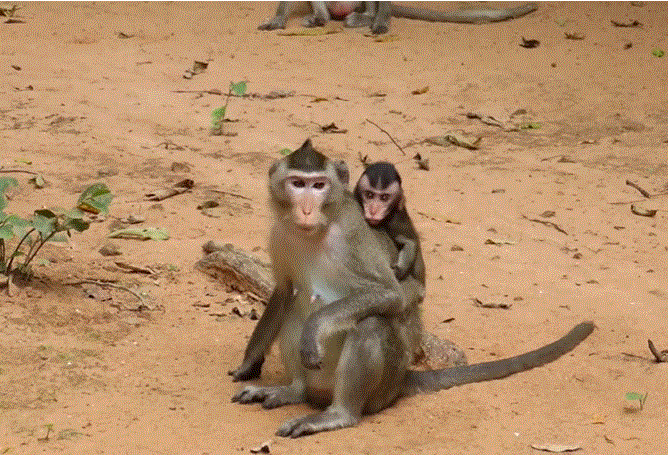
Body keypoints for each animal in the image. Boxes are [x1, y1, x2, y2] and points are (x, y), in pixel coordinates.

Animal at [230, 138, 594, 437]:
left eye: (318, 185)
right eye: (297, 184)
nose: (306, 209)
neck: (317, 228)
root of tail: (402, 379)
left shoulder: (354, 232)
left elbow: (389, 295)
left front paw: (314, 329)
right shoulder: (279, 233)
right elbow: (282, 292)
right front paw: (249, 364)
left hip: (380, 388)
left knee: (371, 324)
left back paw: (339, 414)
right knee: (296, 308)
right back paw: (294, 391)